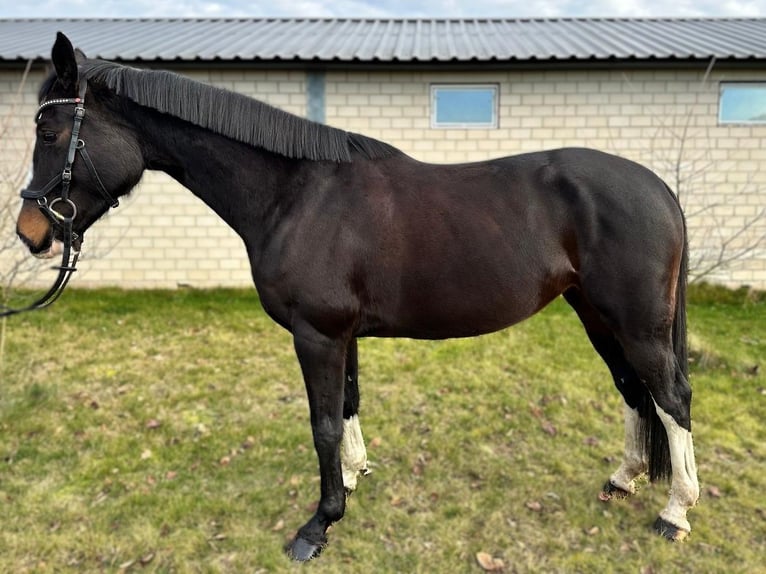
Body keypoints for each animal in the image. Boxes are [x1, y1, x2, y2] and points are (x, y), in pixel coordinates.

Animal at [15, 32, 700, 564]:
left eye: (50, 130)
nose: (31, 232)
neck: (295, 195)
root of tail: (658, 187)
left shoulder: (317, 334)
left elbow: (320, 424)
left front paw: (318, 524)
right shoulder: (341, 336)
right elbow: (345, 407)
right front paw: (350, 479)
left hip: (636, 324)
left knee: (672, 399)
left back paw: (675, 512)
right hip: (596, 316)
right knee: (634, 393)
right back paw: (624, 479)